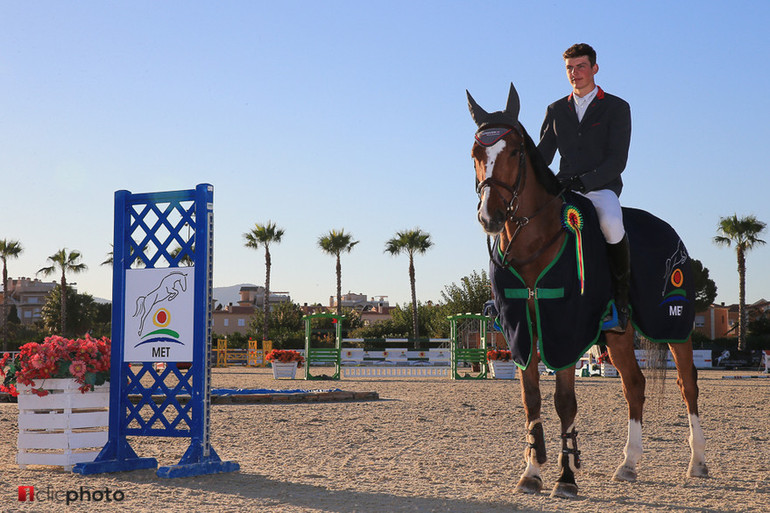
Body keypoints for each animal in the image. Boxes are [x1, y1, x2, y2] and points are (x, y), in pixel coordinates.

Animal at [464, 83, 704, 496]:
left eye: (514, 152)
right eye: (476, 154)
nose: (489, 217)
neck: (533, 240)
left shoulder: (564, 325)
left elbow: (564, 401)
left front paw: (566, 478)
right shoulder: (521, 329)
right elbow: (531, 399)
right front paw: (532, 471)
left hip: (673, 324)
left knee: (688, 384)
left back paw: (698, 461)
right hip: (618, 332)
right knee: (634, 385)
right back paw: (628, 464)